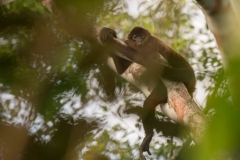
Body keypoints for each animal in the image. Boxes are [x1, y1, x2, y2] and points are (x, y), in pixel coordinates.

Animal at [99, 25, 195, 159]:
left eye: (141, 36)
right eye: (135, 37)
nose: (139, 39)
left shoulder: (151, 44)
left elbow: (143, 58)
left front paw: (110, 34)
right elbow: (121, 69)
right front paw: (110, 33)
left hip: (179, 78)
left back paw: (149, 135)